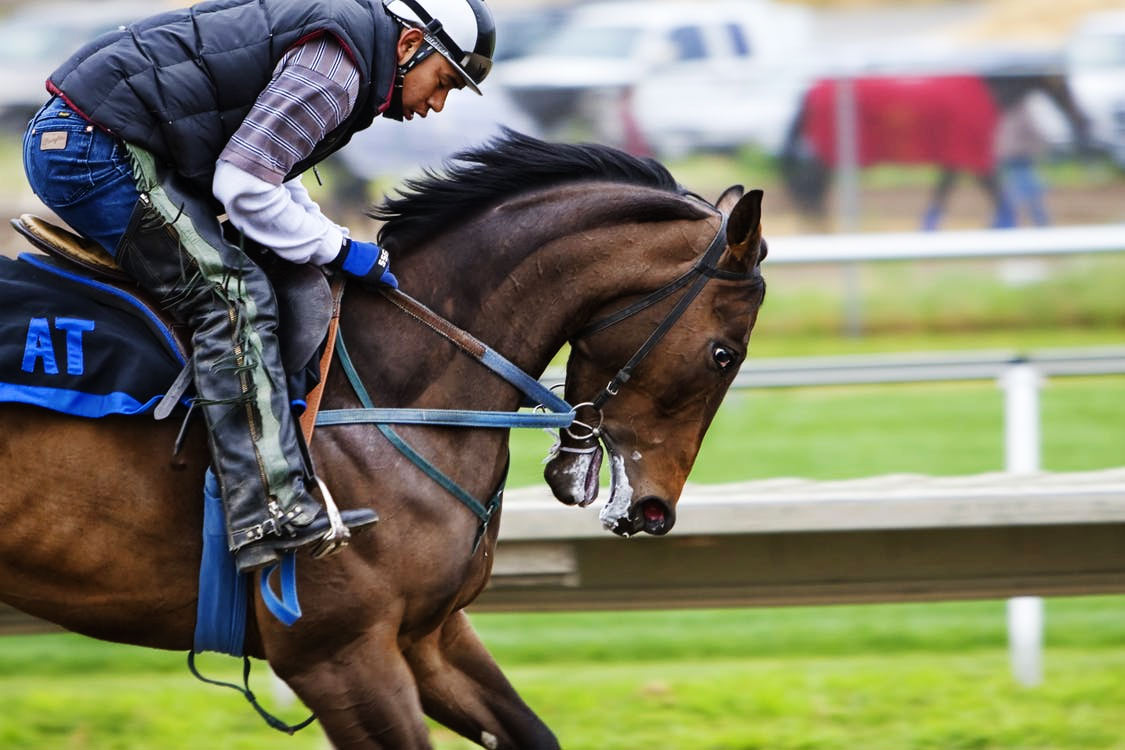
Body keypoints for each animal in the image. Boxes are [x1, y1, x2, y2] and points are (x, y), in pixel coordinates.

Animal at [0, 131, 767, 749]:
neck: (391, 386)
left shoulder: (428, 634)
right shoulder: (337, 654)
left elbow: (532, 732)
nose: (654, 512)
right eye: (724, 354)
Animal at [779, 69, 1091, 229]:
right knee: (810, 183)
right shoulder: (974, 157)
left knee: (810, 184)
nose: (1082, 120)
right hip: (829, 154)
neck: (987, 93)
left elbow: (942, 194)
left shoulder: (954, 158)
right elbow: (1000, 197)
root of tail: (811, 90)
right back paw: (816, 223)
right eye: (1062, 82)